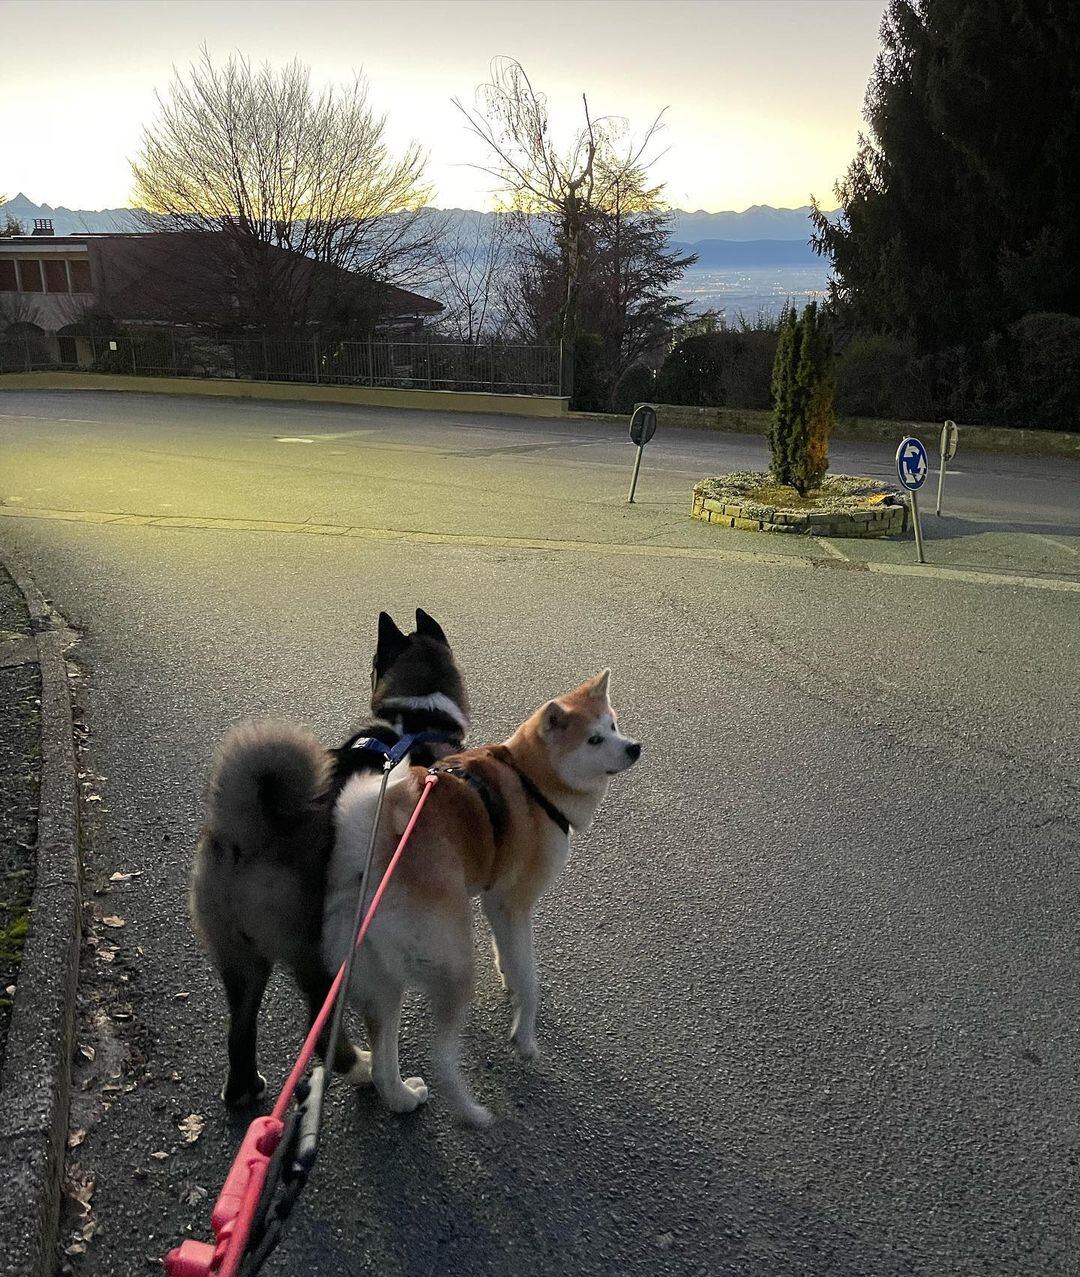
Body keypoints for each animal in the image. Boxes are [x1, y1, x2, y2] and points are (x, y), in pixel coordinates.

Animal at [190, 607, 469, 1108]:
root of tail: (249, 834)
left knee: (239, 1029)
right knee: (324, 1034)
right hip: (323, 954)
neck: (417, 721)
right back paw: (370, 1075)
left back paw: (244, 1089)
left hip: (240, 959)